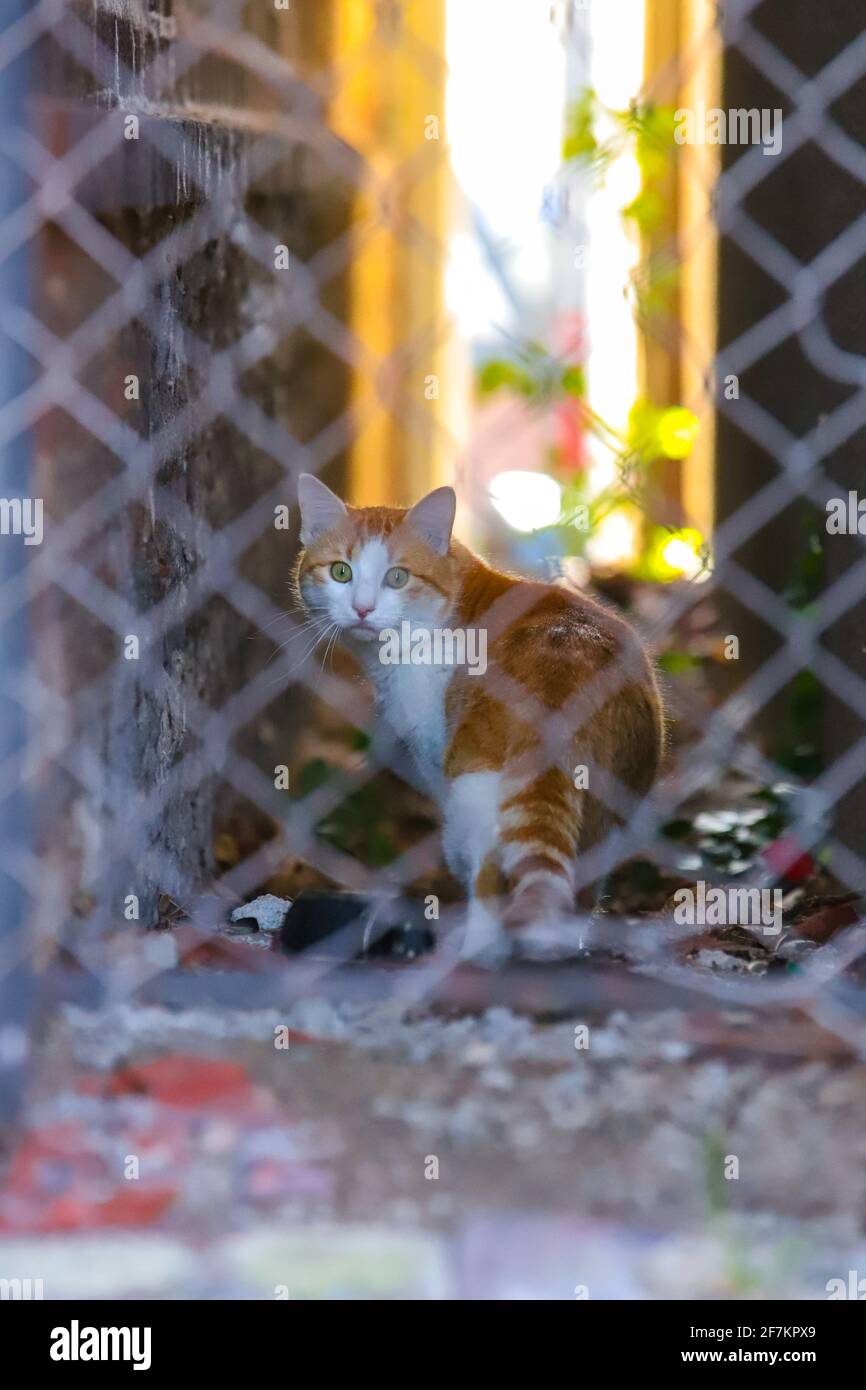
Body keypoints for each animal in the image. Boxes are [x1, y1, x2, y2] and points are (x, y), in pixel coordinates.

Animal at [293, 472, 664, 961]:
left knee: (488, 877)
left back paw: (478, 952)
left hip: (474, 784)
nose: (362, 609)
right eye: (341, 571)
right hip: (615, 803)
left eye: (397, 577)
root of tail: (566, 663)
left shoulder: (436, 747)